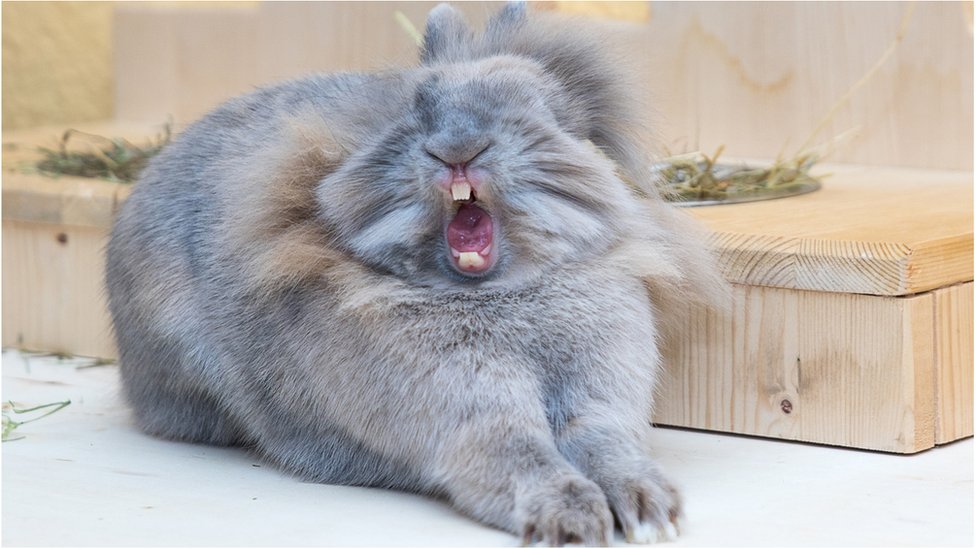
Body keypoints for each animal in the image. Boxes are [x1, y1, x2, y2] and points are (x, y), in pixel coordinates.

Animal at [105, 3, 726, 546]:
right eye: (417, 107)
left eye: (541, 108)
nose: (457, 148)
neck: (499, 292)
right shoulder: (471, 411)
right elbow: (515, 450)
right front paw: (572, 520)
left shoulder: (599, 393)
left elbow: (603, 441)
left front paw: (650, 511)